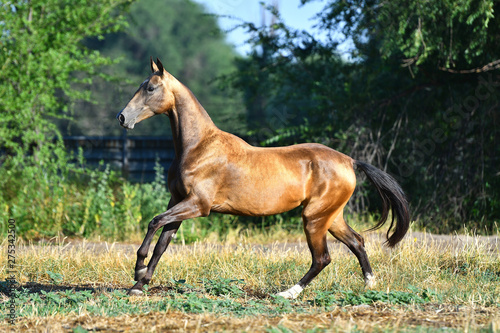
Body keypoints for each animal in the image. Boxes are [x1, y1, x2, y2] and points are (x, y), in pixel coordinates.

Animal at [117, 57, 410, 298]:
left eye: (150, 88)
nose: (122, 117)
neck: (199, 146)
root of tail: (350, 161)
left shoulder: (198, 205)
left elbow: (154, 223)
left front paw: (138, 271)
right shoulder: (178, 202)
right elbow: (161, 244)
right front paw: (139, 286)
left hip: (314, 218)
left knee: (322, 258)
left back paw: (287, 293)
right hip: (331, 216)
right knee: (357, 242)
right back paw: (369, 285)